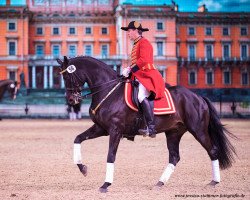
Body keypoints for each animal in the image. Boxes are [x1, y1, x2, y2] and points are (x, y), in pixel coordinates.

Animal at [56, 55, 236, 192]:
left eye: (68, 76)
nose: (71, 100)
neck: (109, 92)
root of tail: (198, 97)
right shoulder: (101, 128)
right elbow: (78, 139)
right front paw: (82, 168)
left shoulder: (115, 131)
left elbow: (110, 155)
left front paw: (106, 184)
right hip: (174, 132)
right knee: (174, 157)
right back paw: (160, 183)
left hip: (198, 130)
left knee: (212, 150)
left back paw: (214, 181)